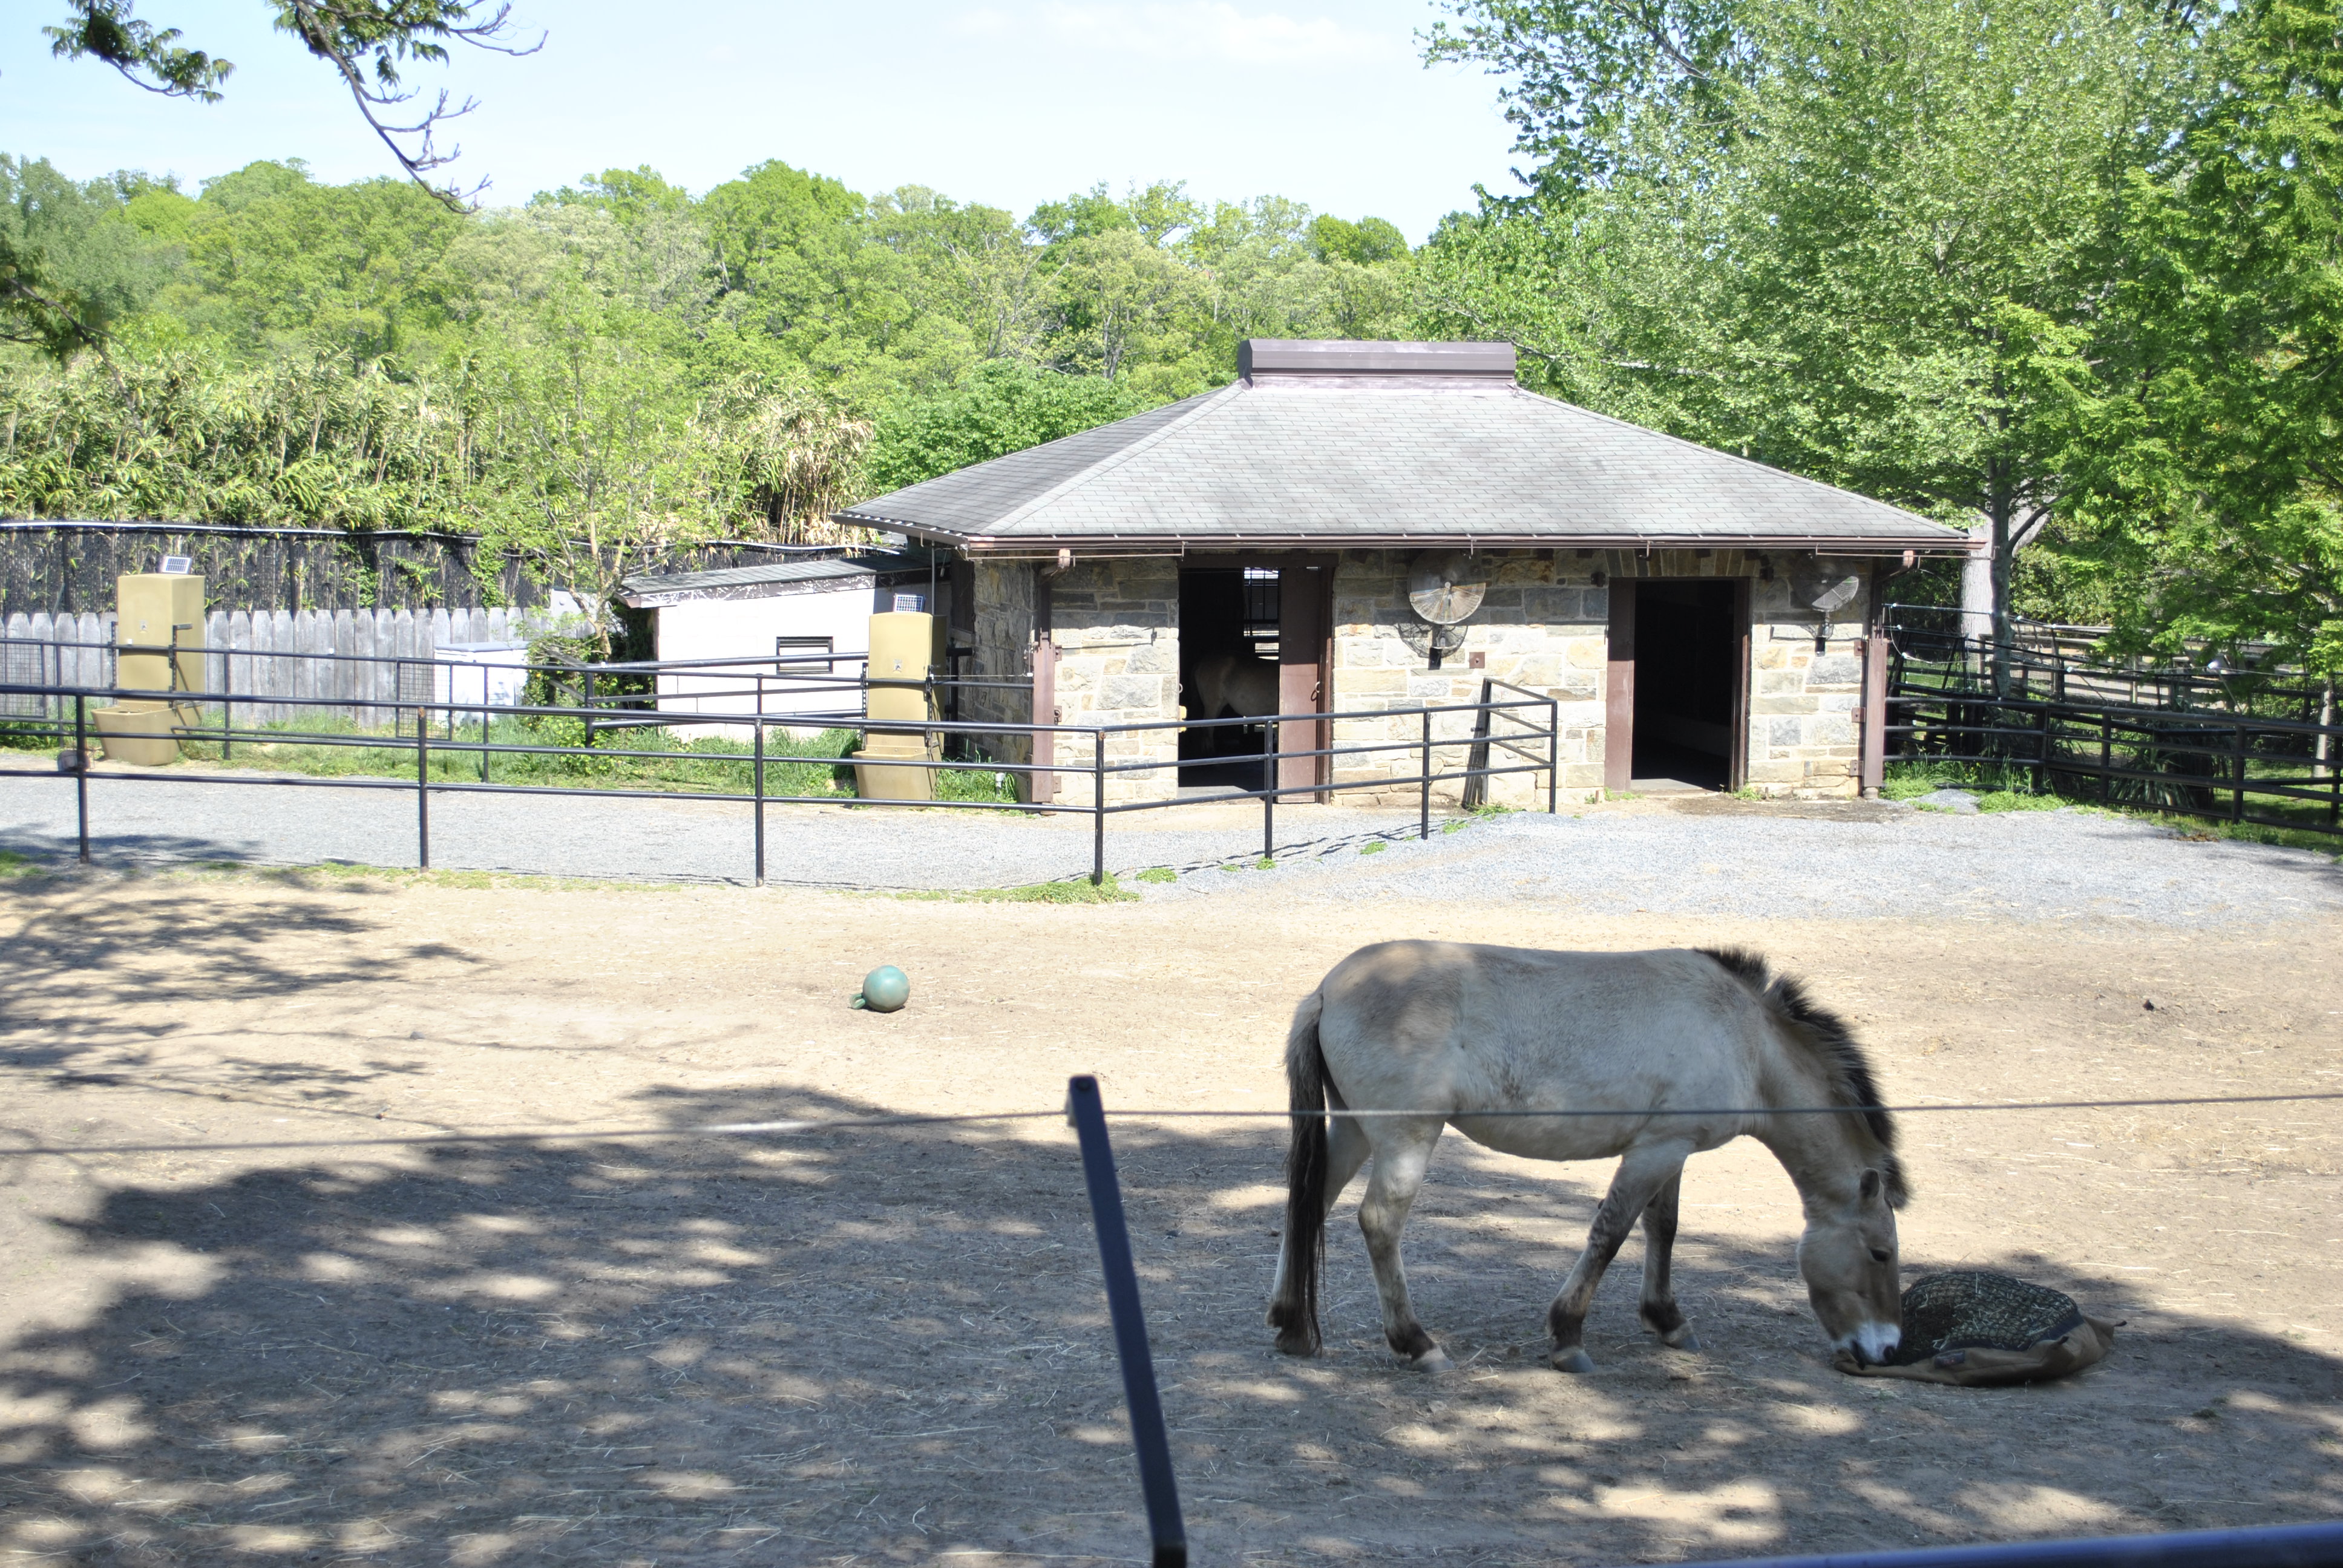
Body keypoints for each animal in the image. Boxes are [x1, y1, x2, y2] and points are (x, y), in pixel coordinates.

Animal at [1266, 941, 1909, 1373]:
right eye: (1880, 1253)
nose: (1884, 1349)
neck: (1742, 1037)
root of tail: (1326, 990)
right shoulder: (1654, 1153)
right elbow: (1611, 1233)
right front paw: (1569, 1336)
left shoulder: (1671, 1150)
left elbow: (1663, 1227)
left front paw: (1668, 1319)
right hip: (1406, 1139)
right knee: (1379, 1223)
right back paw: (1416, 1344)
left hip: (1352, 1131)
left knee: (1309, 1204)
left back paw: (1291, 1324)